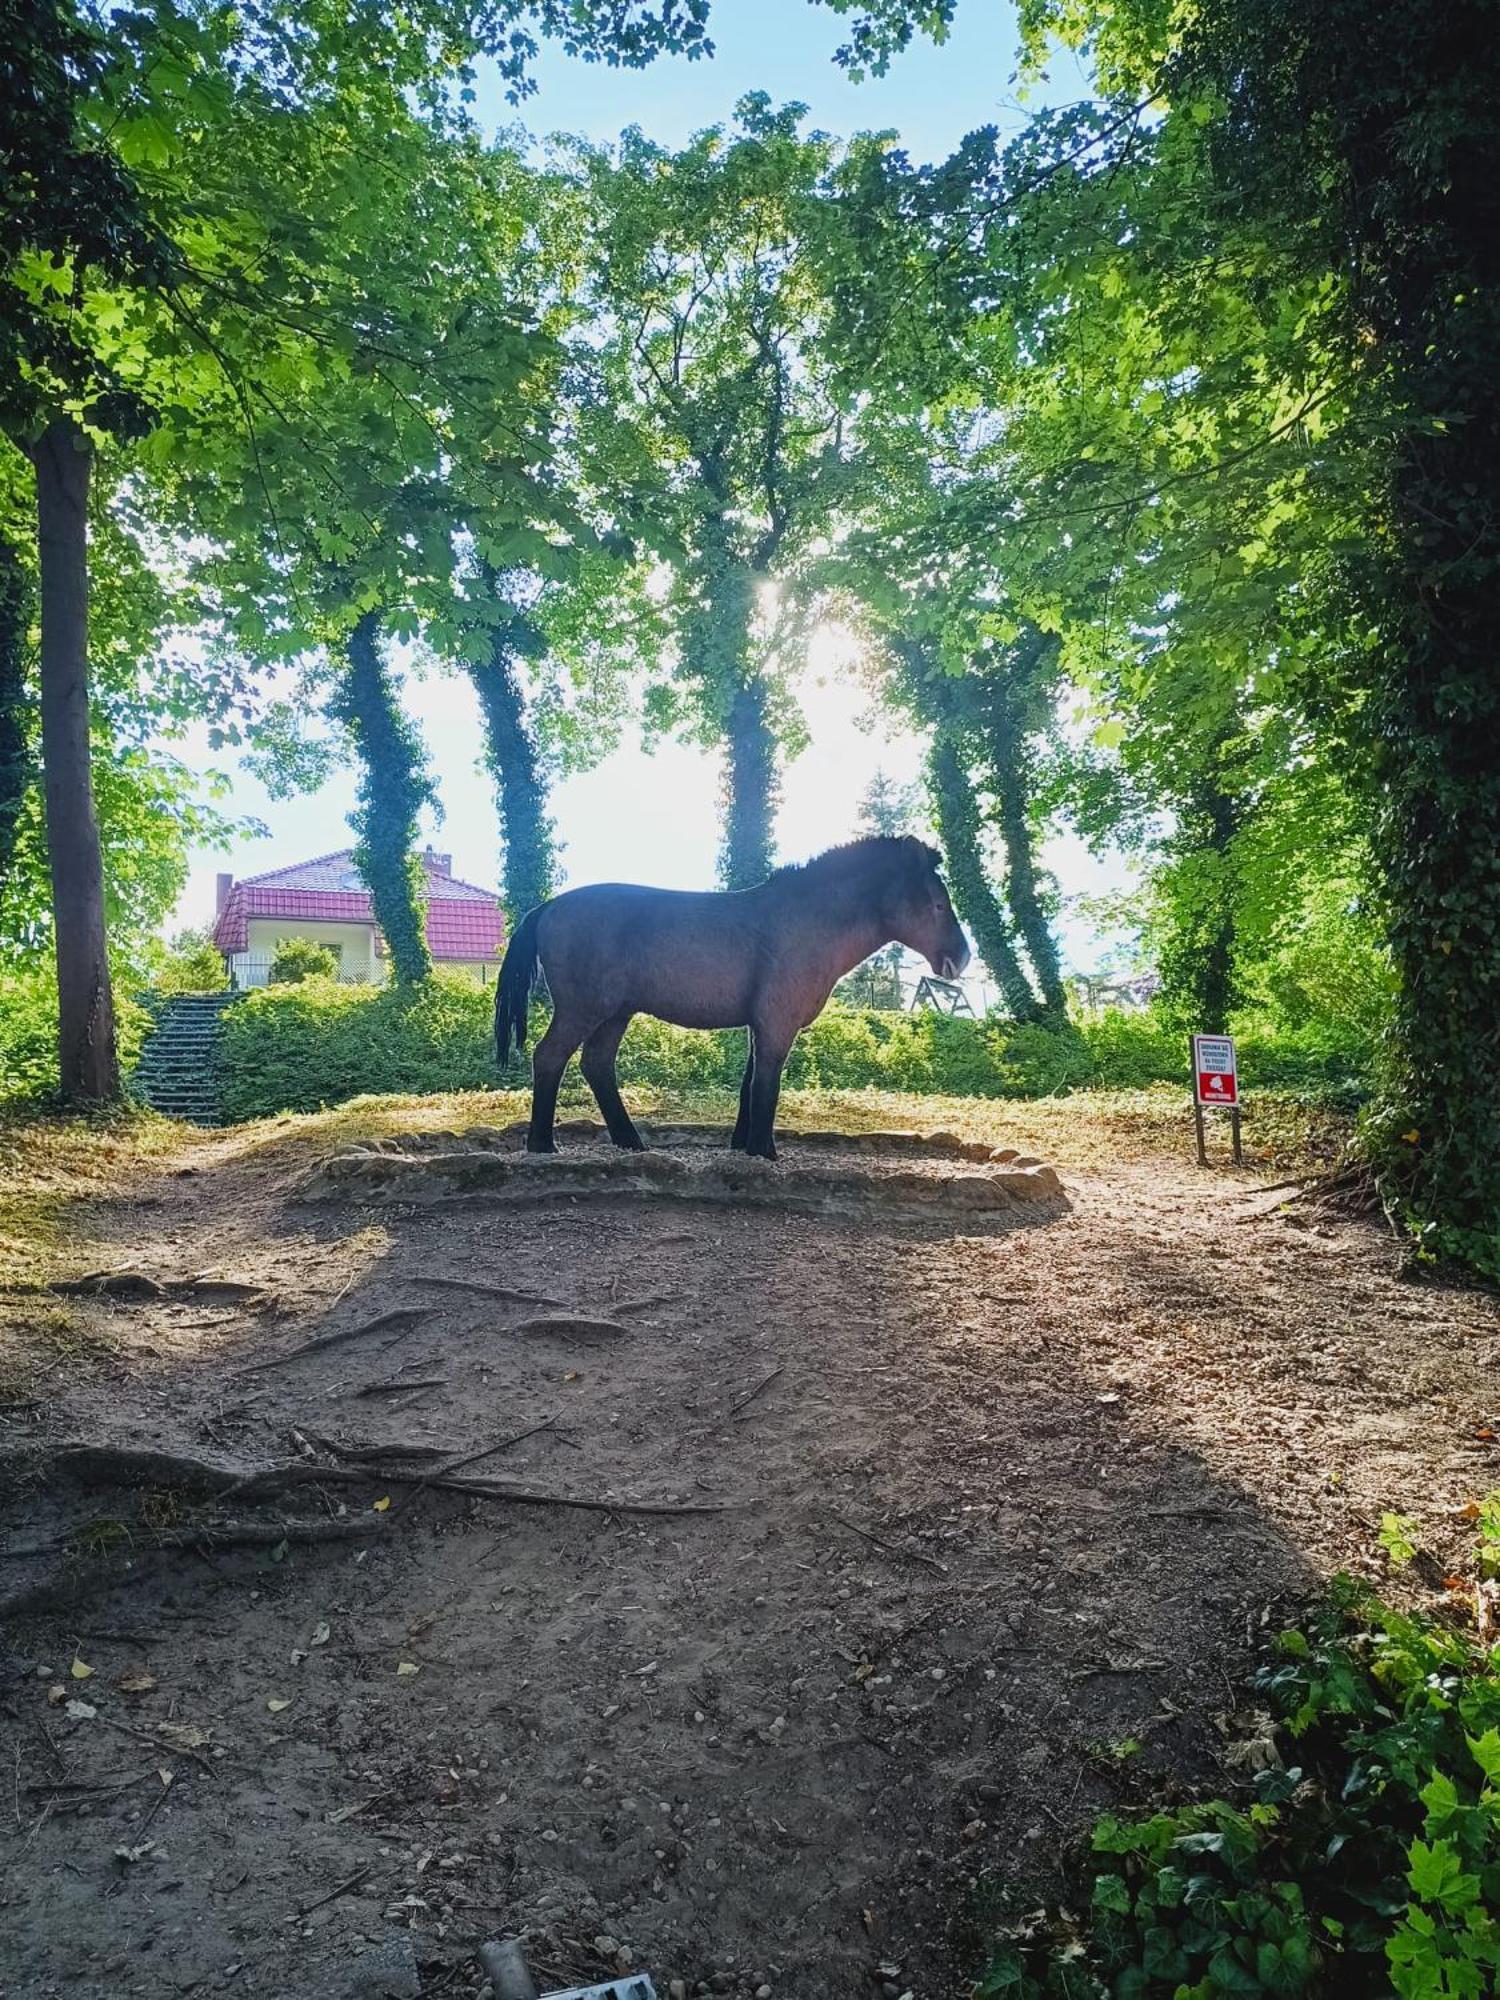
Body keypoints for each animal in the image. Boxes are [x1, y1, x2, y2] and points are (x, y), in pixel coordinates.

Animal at [496, 840, 976, 1160]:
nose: (962, 956)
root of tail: (549, 906)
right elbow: (767, 1084)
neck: (804, 920)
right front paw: (765, 1151)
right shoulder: (778, 1024)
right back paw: (542, 1144)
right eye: (938, 904)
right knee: (549, 1057)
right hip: (583, 1010)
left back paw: (630, 1141)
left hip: (616, 1013)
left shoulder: (758, 1024)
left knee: (596, 1065)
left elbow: (749, 1083)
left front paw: (745, 1145)